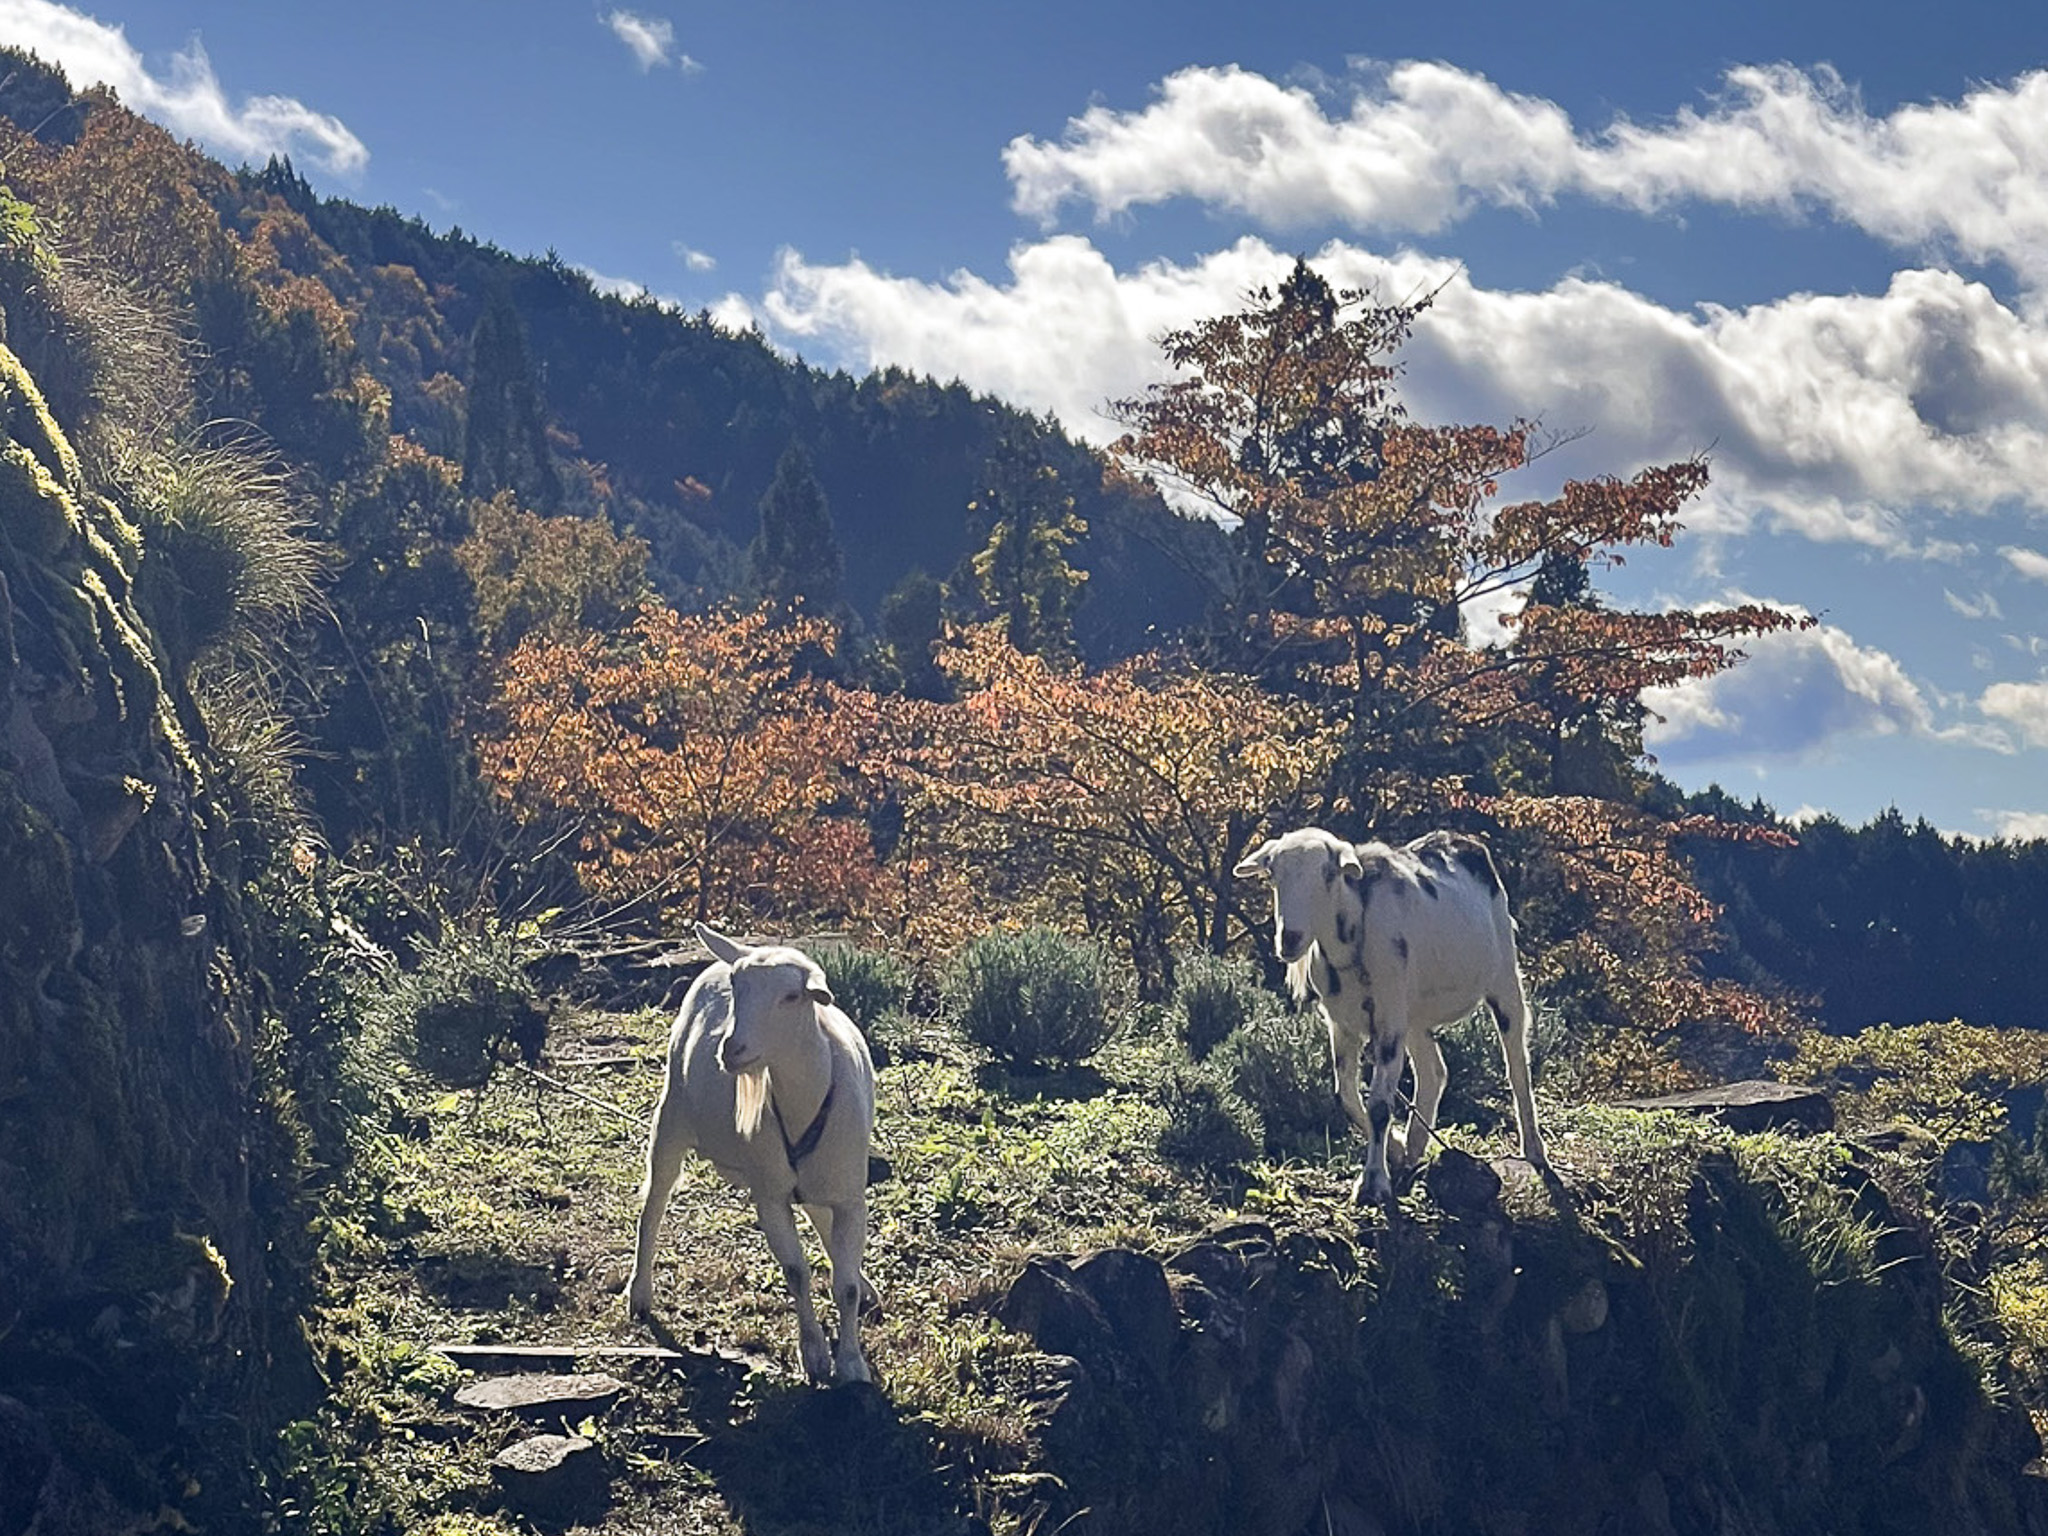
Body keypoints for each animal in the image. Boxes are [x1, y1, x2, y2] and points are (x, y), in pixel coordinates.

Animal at [622, 933, 880, 1392]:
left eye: (792, 996)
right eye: (737, 988)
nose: (732, 1049)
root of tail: (716, 961)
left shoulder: (850, 1196)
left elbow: (845, 1285)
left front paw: (852, 1363)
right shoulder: (771, 1195)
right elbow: (796, 1272)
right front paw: (815, 1355)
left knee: (821, 1220)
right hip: (671, 1117)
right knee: (654, 1204)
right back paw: (641, 1294)